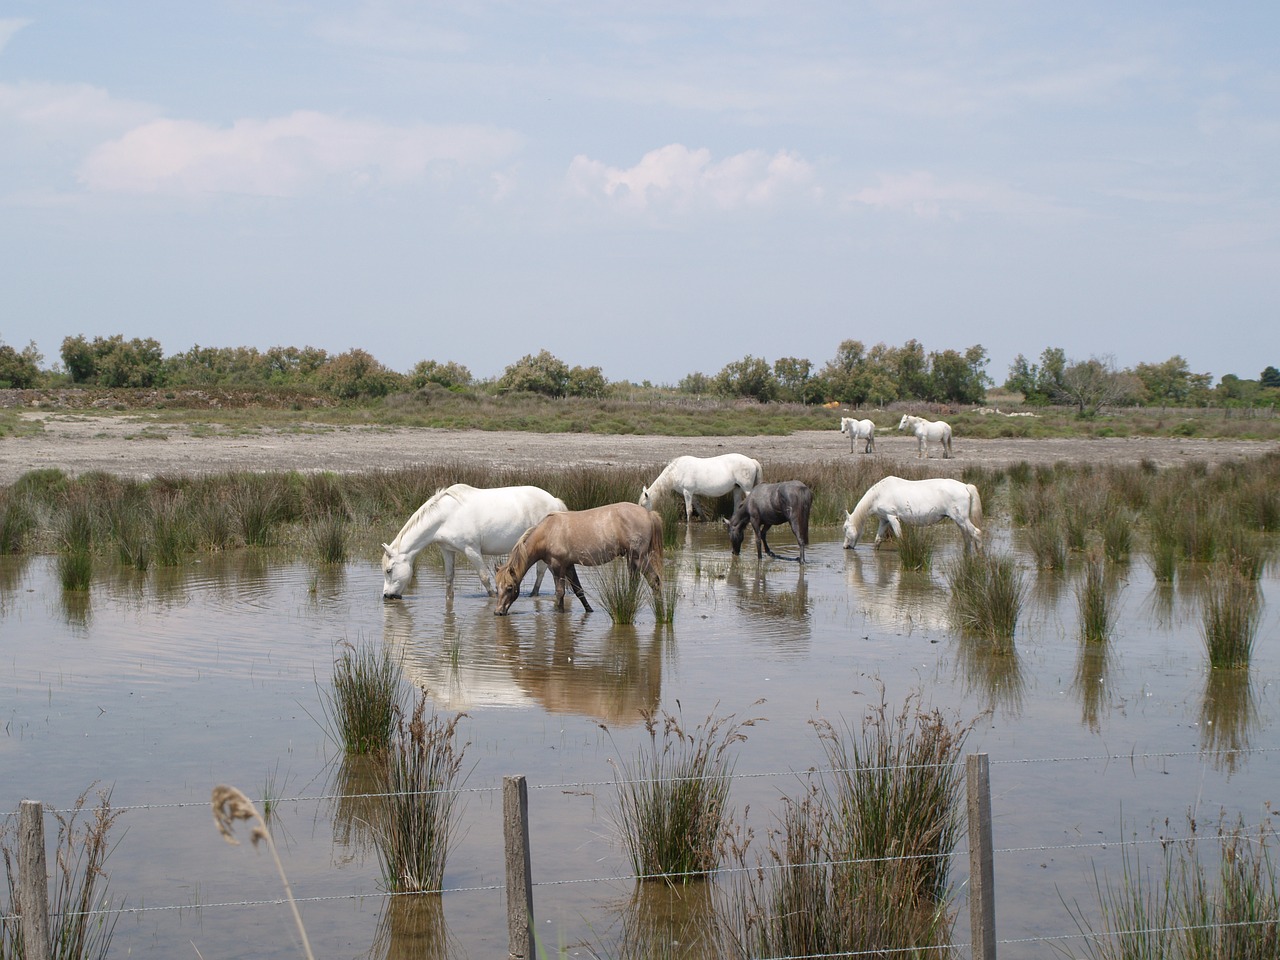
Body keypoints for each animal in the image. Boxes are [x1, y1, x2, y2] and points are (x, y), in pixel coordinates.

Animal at [376, 483, 563, 599]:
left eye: (389, 570)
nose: (387, 596)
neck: (446, 516)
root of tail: (554, 501)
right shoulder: (447, 550)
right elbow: (449, 578)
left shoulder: (471, 550)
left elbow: (484, 577)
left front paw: (494, 597)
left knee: (541, 571)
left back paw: (534, 594)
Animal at [494, 504, 665, 616]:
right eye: (497, 587)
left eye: (510, 587)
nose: (498, 612)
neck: (548, 532)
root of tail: (648, 513)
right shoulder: (569, 566)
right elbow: (579, 591)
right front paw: (589, 611)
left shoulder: (558, 566)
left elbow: (560, 593)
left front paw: (559, 614)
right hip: (632, 559)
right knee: (634, 585)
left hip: (639, 557)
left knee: (654, 581)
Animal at [844, 478, 983, 552]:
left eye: (845, 528)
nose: (845, 546)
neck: (879, 494)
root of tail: (965, 486)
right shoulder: (884, 520)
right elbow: (877, 540)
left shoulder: (892, 517)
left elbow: (900, 537)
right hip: (960, 522)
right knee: (967, 538)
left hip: (961, 519)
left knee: (976, 533)